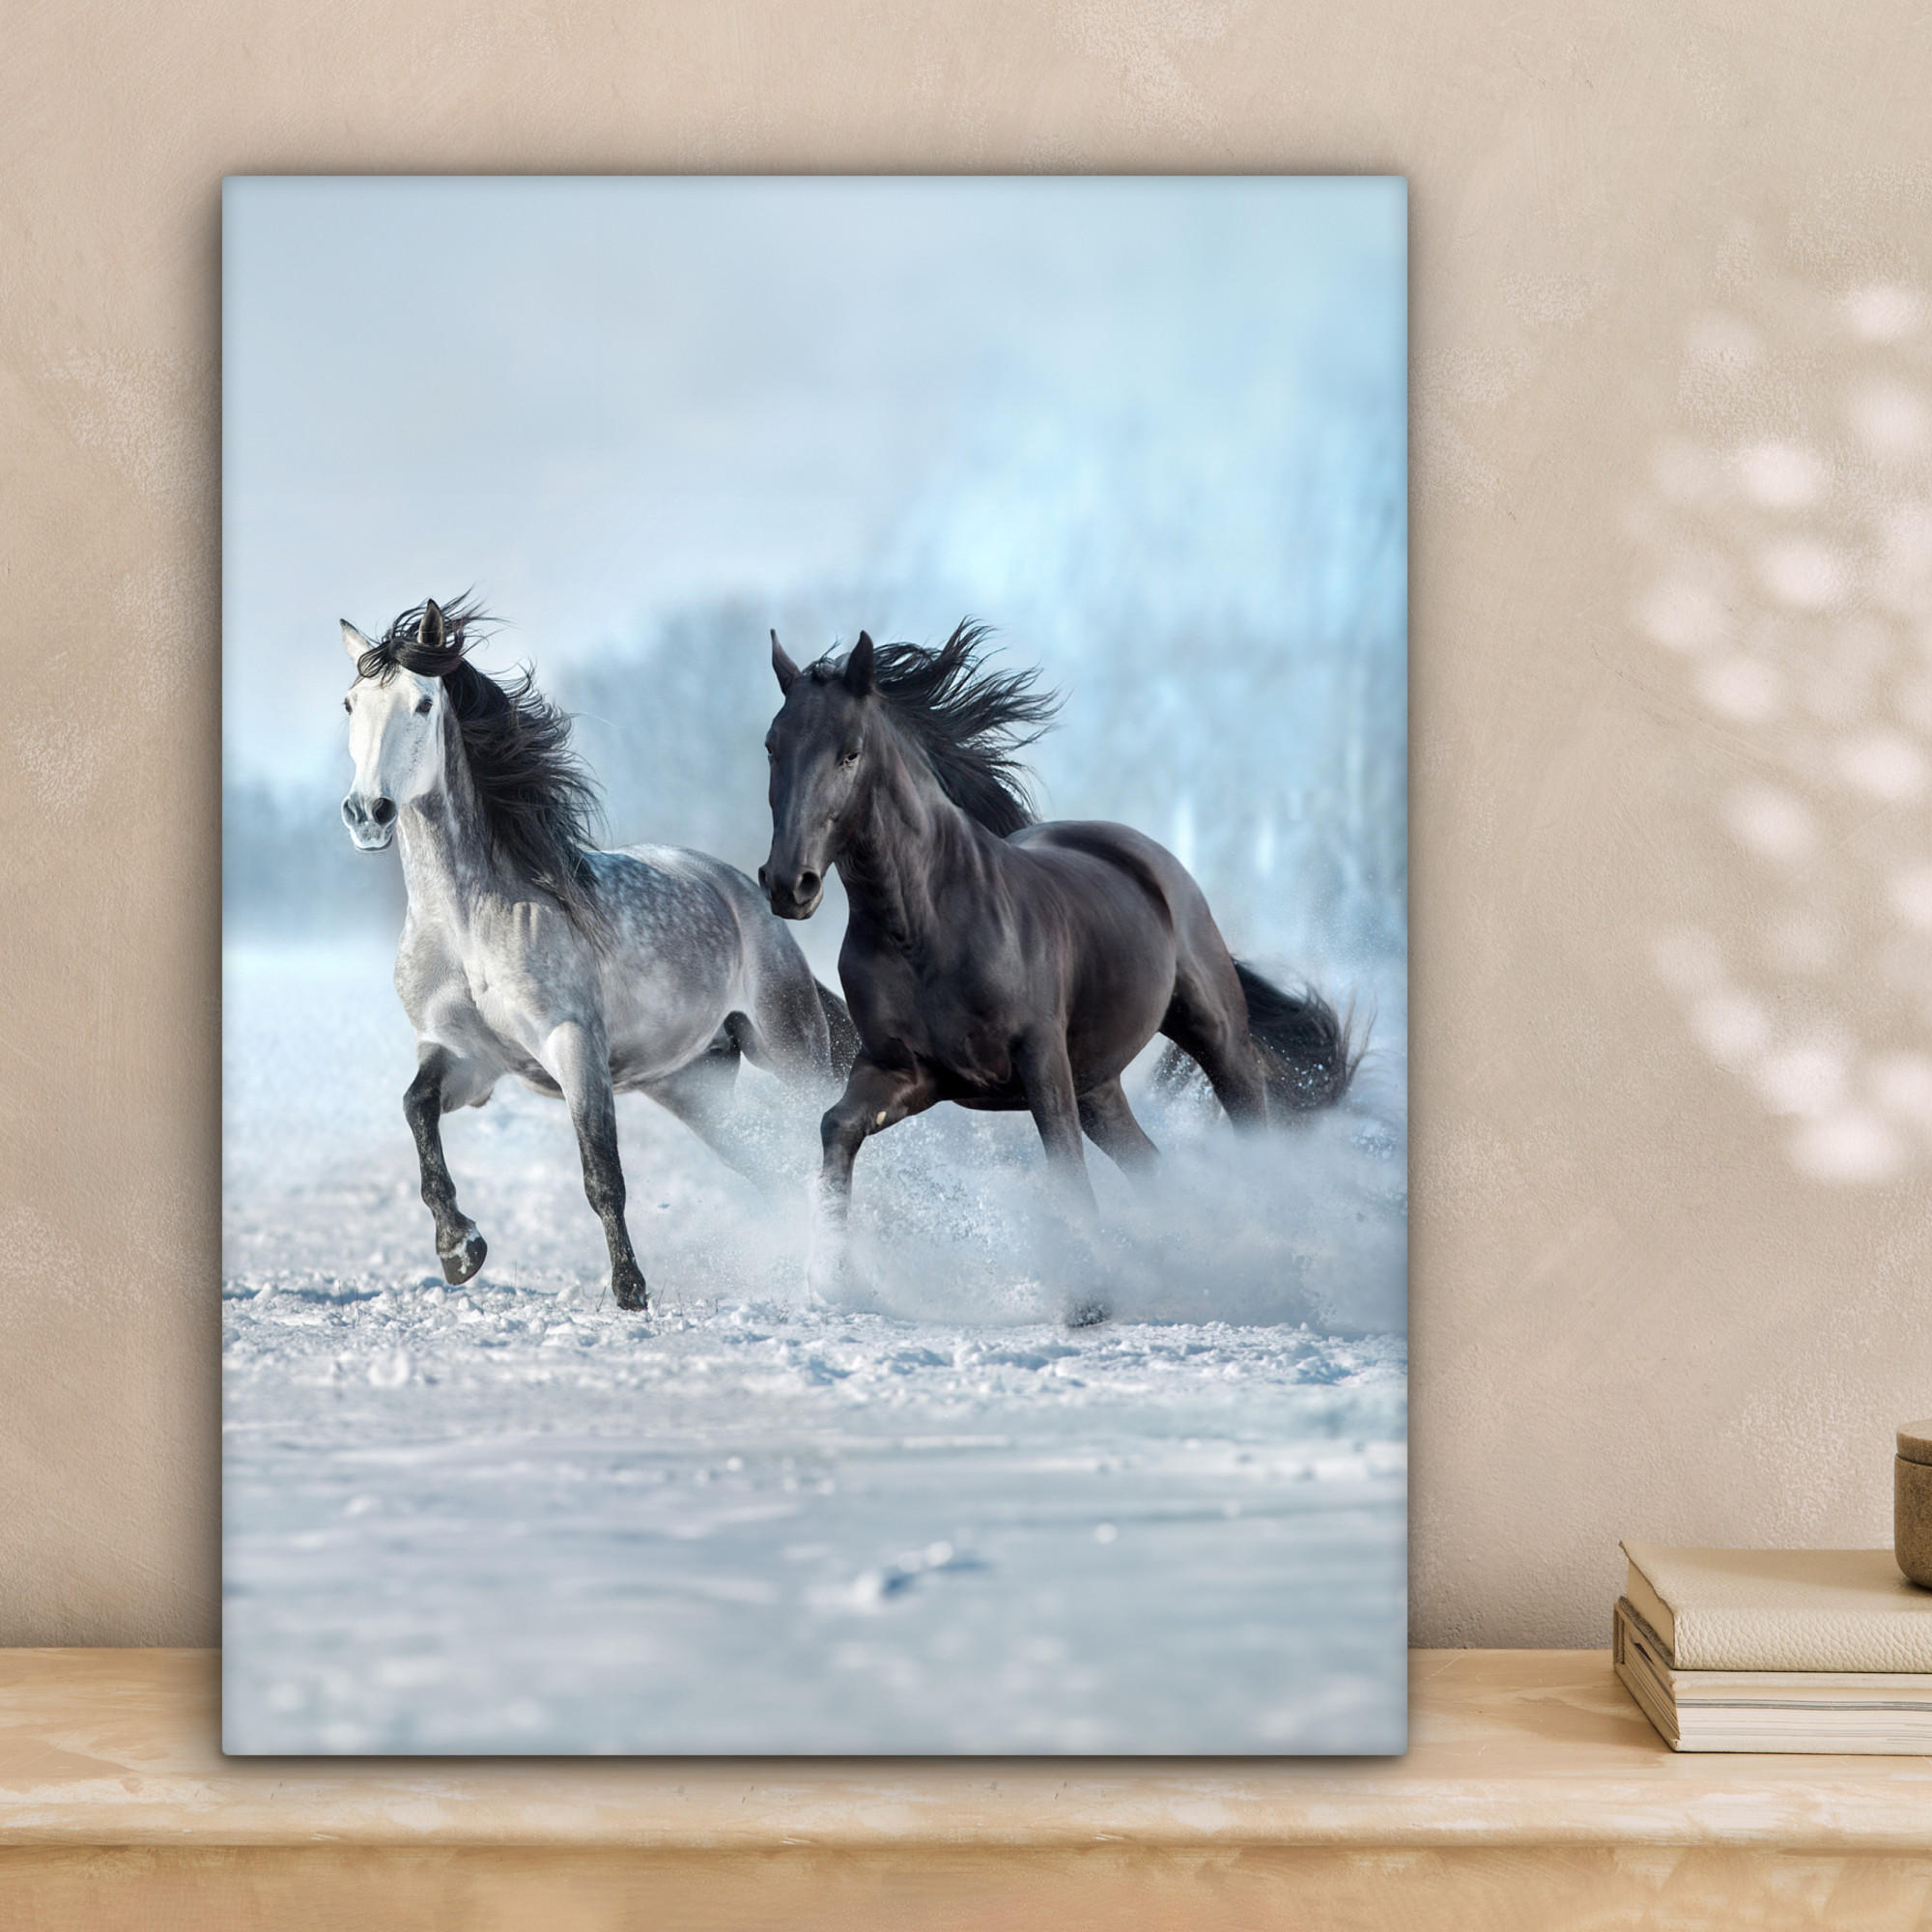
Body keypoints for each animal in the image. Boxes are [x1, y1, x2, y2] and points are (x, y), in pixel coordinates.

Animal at [339, 595, 856, 1313]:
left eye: (421, 703)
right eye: (350, 703)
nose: (369, 813)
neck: (467, 924)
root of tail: (743, 892)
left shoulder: (573, 1044)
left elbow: (601, 1173)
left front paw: (630, 1291)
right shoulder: (465, 1058)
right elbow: (416, 1110)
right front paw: (459, 1249)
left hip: (790, 1047)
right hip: (693, 1085)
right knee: (771, 1166)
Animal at [758, 621, 1358, 1313]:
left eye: (850, 753)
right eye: (772, 747)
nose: (789, 884)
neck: (924, 928)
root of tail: (1148, 858)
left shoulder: (1040, 1059)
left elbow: (1065, 1167)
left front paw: (1090, 1300)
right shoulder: (904, 1071)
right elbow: (838, 1127)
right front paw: (836, 1278)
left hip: (1215, 1035)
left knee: (1249, 1124)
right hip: (1099, 1085)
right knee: (1152, 1167)